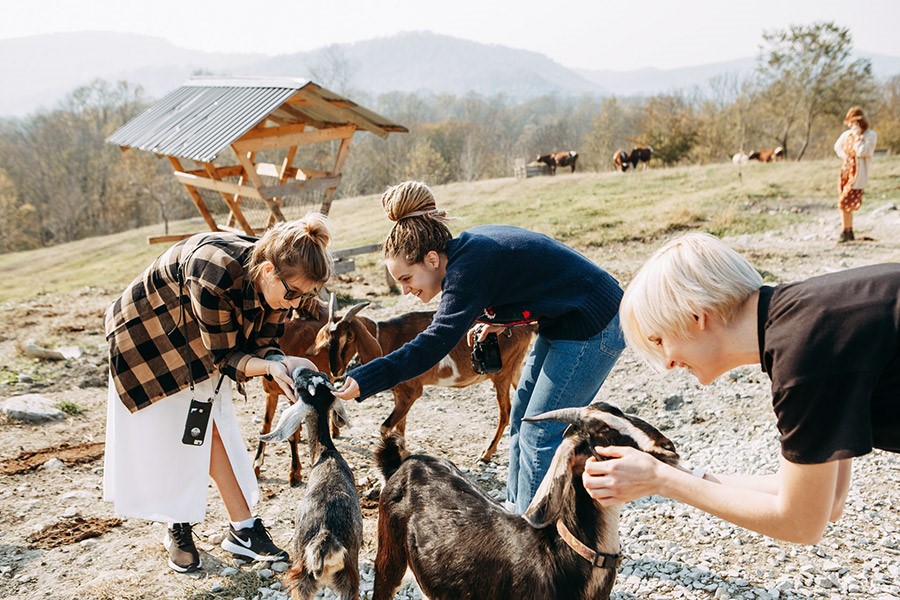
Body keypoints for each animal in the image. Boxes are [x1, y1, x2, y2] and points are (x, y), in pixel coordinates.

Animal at [258, 366, 360, 600]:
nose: (300, 368)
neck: (327, 453)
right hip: (349, 579)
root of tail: (325, 538)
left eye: (299, 386)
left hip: (301, 575)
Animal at [312, 304, 536, 464]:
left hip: (501, 374)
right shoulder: (400, 394)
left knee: (505, 412)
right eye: (328, 339)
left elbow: (386, 428)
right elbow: (400, 428)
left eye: (349, 337)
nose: (335, 370)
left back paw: (486, 454)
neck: (388, 339)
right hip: (515, 368)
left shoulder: (412, 391)